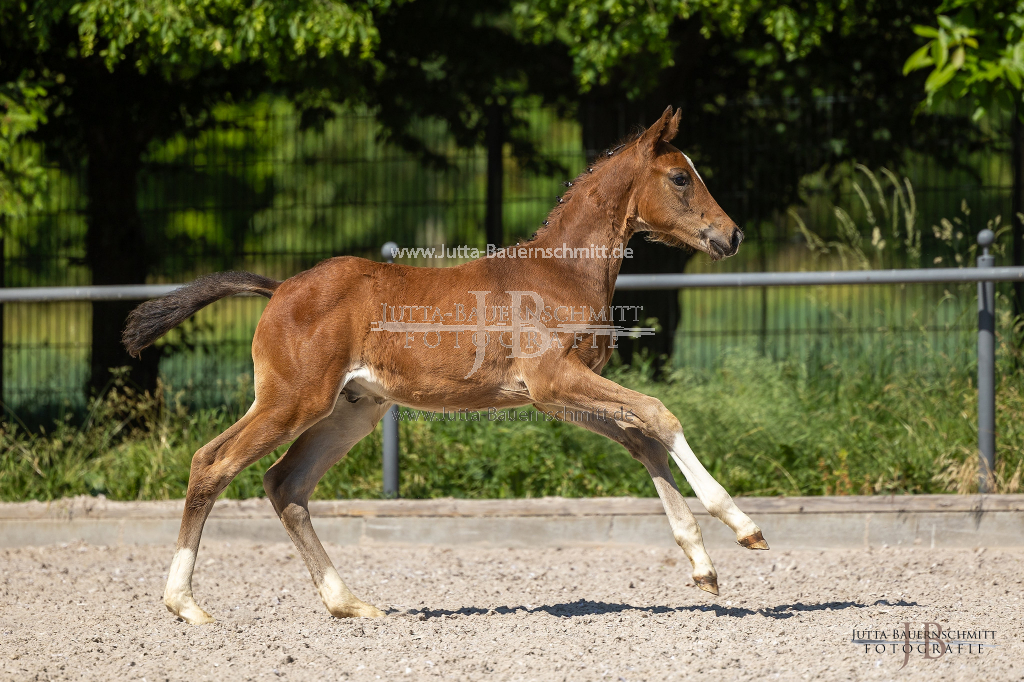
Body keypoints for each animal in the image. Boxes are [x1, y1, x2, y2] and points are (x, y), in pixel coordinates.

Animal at [123, 104, 765, 622]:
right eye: (680, 177)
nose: (732, 235)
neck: (559, 272)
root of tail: (279, 288)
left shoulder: (558, 395)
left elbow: (642, 440)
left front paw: (703, 564)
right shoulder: (556, 381)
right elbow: (659, 415)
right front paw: (741, 524)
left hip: (350, 411)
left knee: (286, 484)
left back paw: (348, 603)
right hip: (292, 400)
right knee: (213, 463)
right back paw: (185, 604)